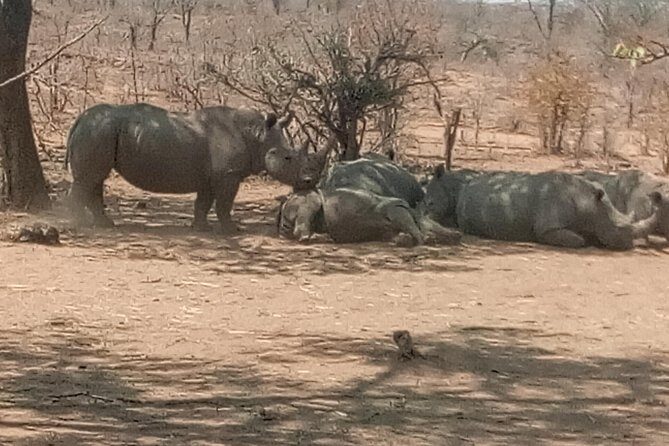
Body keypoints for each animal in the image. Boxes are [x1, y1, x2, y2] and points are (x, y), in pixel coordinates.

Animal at [65, 103, 306, 232]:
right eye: (287, 158)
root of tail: (79, 119)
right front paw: (232, 230)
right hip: (97, 131)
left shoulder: (212, 175)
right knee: (88, 179)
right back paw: (79, 223)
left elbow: (203, 203)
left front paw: (201, 229)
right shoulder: (228, 174)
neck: (257, 134)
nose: (307, 181)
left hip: (100, 132)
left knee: (95, 179)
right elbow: (224, 204)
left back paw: (105, 224)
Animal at [423, 167, 659, 250]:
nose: (629, 246)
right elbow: (577, 240)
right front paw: (584, 240)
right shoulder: (548, 228)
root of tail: (469, 184)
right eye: (617, 228)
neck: (591, 204)